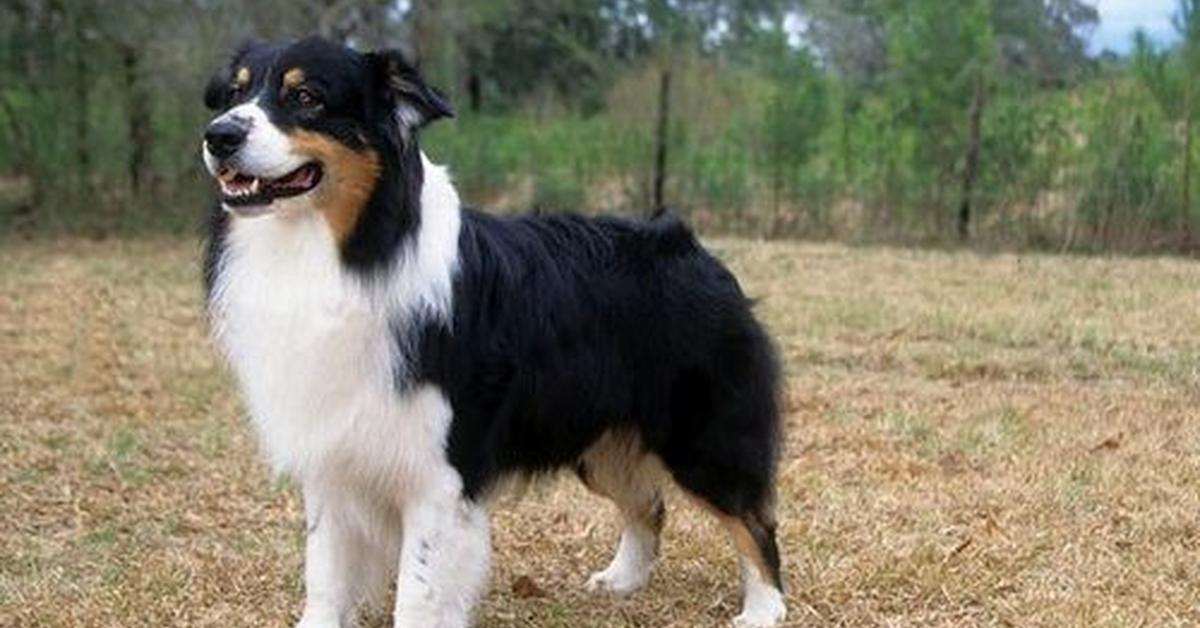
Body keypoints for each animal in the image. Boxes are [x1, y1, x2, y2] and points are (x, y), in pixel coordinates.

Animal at [200, 36, 787, 624]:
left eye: (306, 98)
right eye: (234, 94)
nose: (218, 136)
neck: (349, 249)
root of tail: (691, 246)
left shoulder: (438, 472)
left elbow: (418, 590)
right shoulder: (330, 451)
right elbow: (325, 572)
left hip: (702, 438)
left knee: (754, 521)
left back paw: (764, 607)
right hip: (598, 438)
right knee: (650, 504)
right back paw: (623, 578)